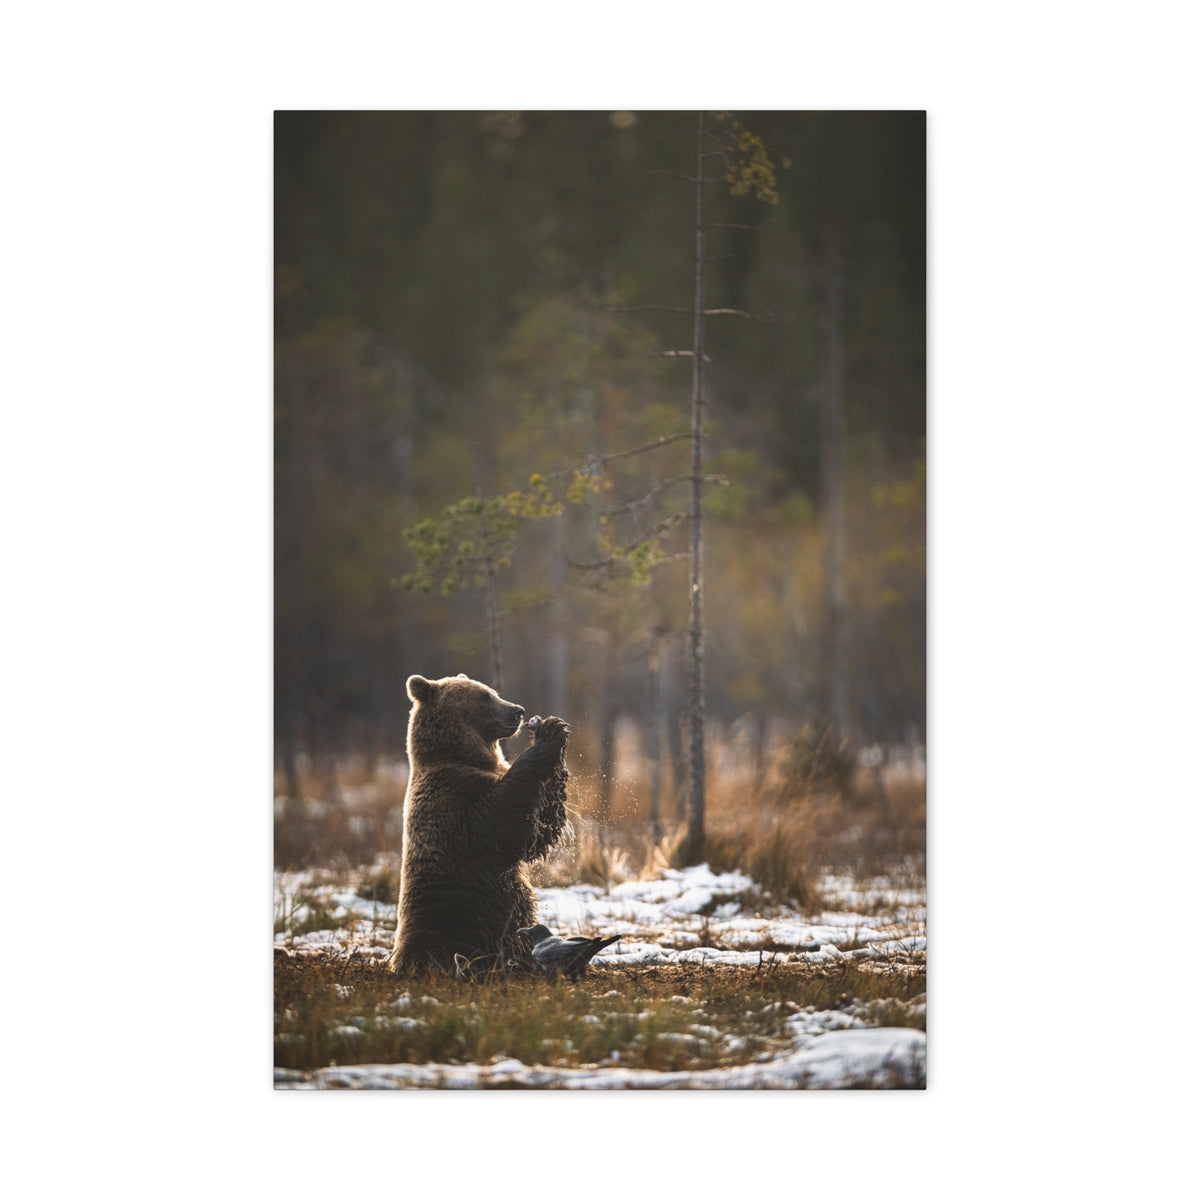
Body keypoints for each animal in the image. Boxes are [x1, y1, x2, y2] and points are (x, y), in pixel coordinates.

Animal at [387, 673, 569, 975]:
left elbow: (537, 830)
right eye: (484, 696)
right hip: (454, 920)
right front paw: (550, 734)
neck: (461, 756)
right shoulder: (458, 802)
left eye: (492, 691)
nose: (517, 711)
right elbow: (506, 823)